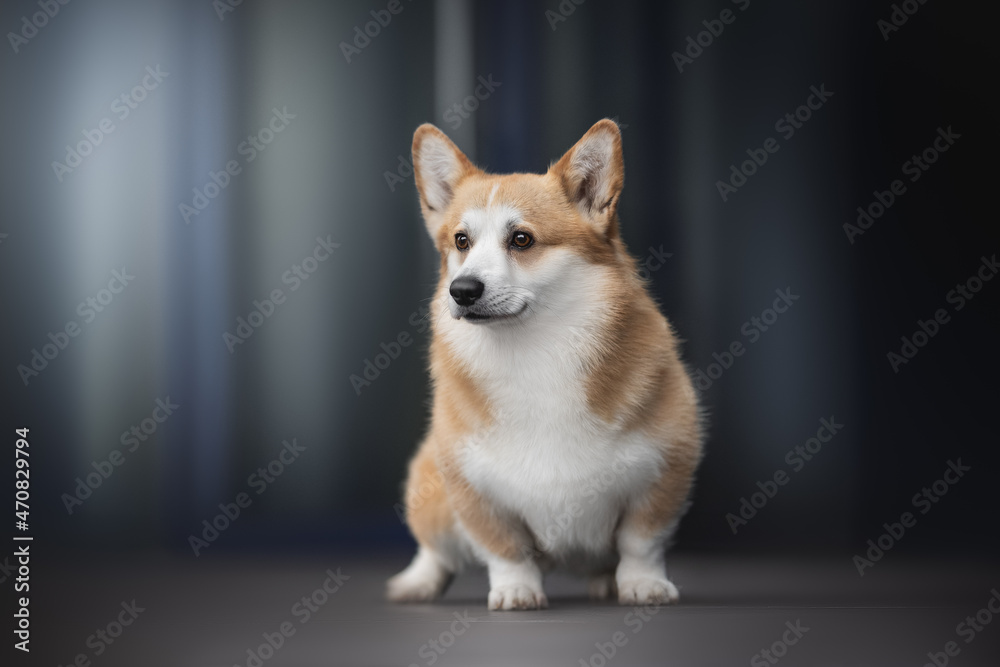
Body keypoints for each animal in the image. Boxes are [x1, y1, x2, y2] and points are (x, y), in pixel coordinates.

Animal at [384, 118, 704, 612]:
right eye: (461, 241)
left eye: (522, 239)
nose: (462, 290)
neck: (531, 351)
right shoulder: (472, 489)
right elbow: (505, 548)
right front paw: (516, 590)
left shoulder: (665, 471)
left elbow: (641, 542)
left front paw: (644, 585)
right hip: (431, 490)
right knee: (438, 551)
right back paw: (417, 583)